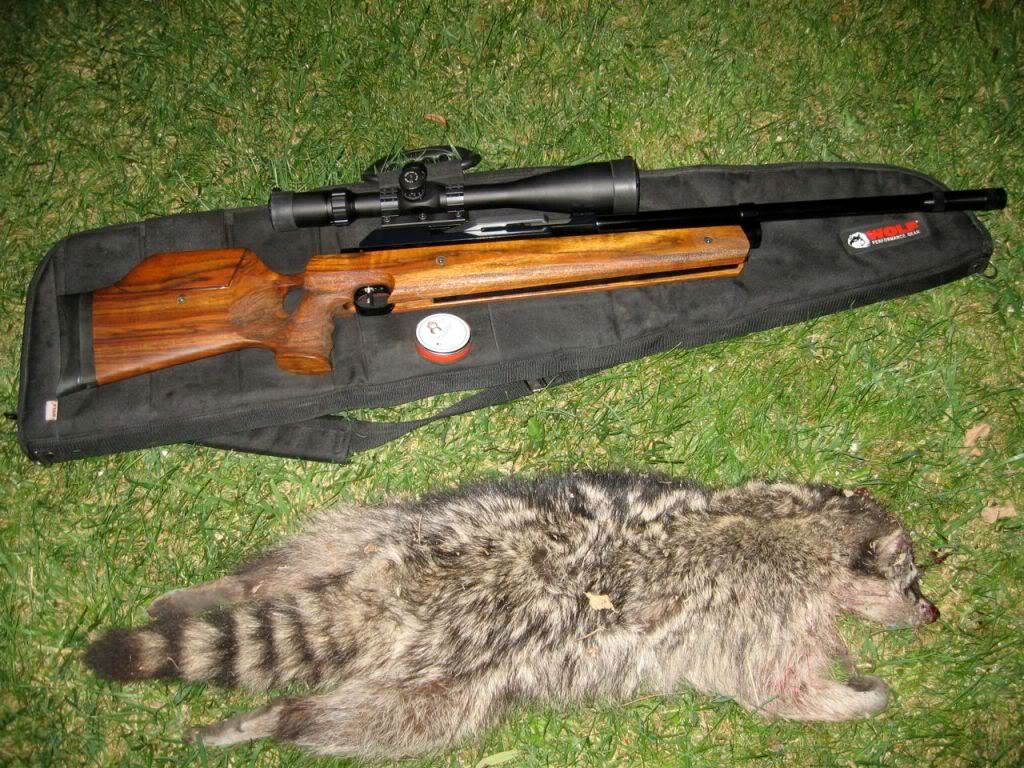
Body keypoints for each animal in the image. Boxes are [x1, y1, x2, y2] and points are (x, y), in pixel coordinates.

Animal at [85, 472, 938, 758]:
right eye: (912, 581)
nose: (932, 614)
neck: (814, 532)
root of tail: (386, 601)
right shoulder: (765, 618)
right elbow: (782, 688)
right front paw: (860, 695)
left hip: (427, 519)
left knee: (323, 543)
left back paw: (236, 587)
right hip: (455, 685)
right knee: (371, 725)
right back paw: (279, 719)